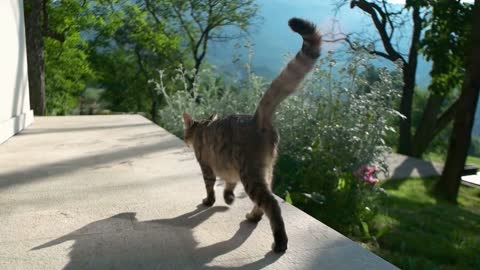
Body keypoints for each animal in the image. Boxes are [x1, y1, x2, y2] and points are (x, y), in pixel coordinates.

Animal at [182, 17, 320, 253]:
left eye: (185, 133)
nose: (184, 140)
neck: (202, 127)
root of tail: (258, 118)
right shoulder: (229, 170)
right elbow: (229, 185)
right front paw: (228, 199)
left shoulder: (206, 165)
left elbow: (210, 187)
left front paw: (209, 201)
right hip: (266, 170)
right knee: (265, 201)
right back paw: (252, 216)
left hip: (251, 172)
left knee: (271, 203)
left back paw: (279, 243)